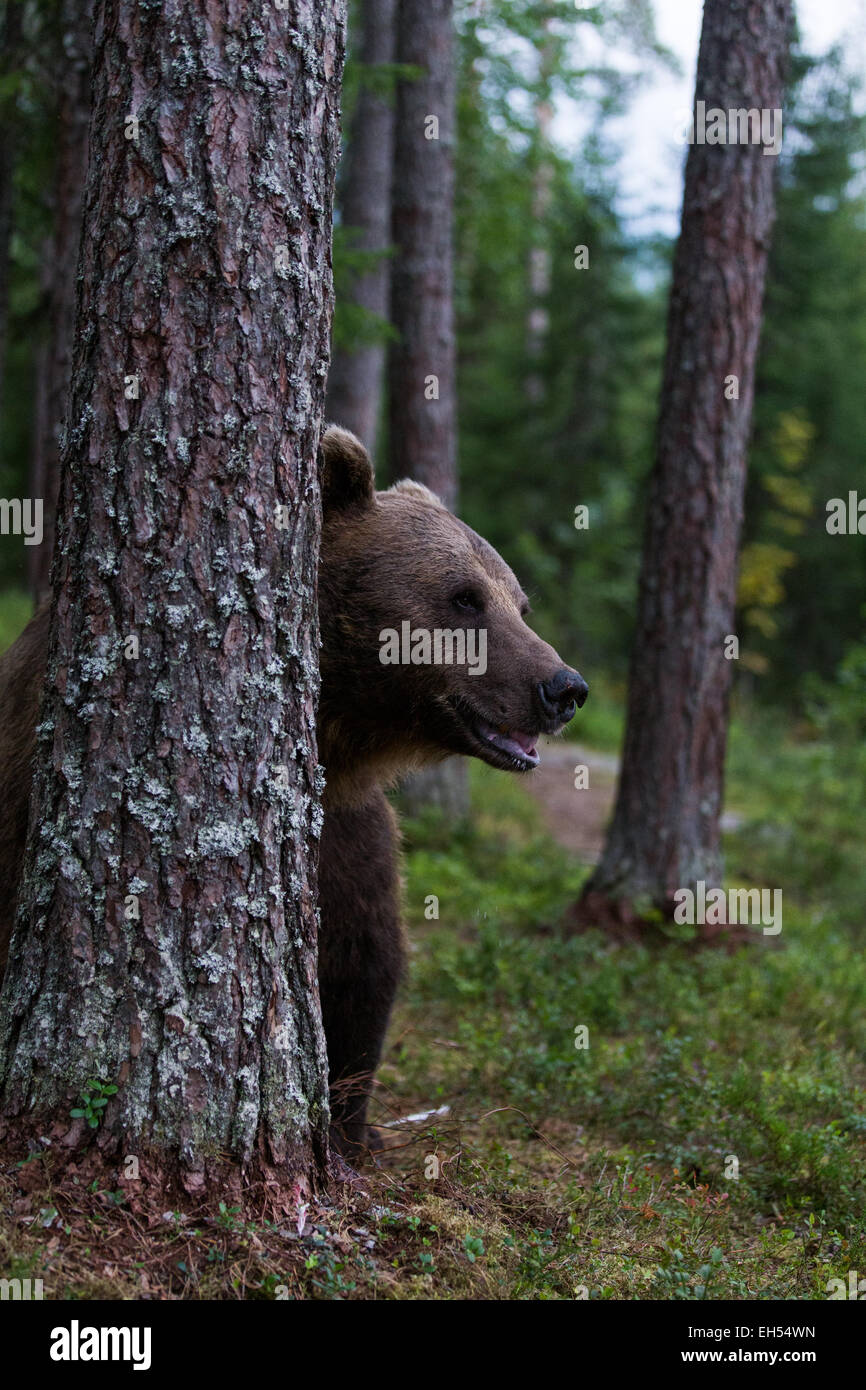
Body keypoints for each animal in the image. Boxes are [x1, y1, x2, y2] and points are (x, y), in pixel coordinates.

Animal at [0, 428, 589, 1156]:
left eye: (519, 603)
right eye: (464, 596)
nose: (563, 687)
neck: (342, 733)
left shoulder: (351, 832)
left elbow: (363, 966)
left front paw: (351, 1130)